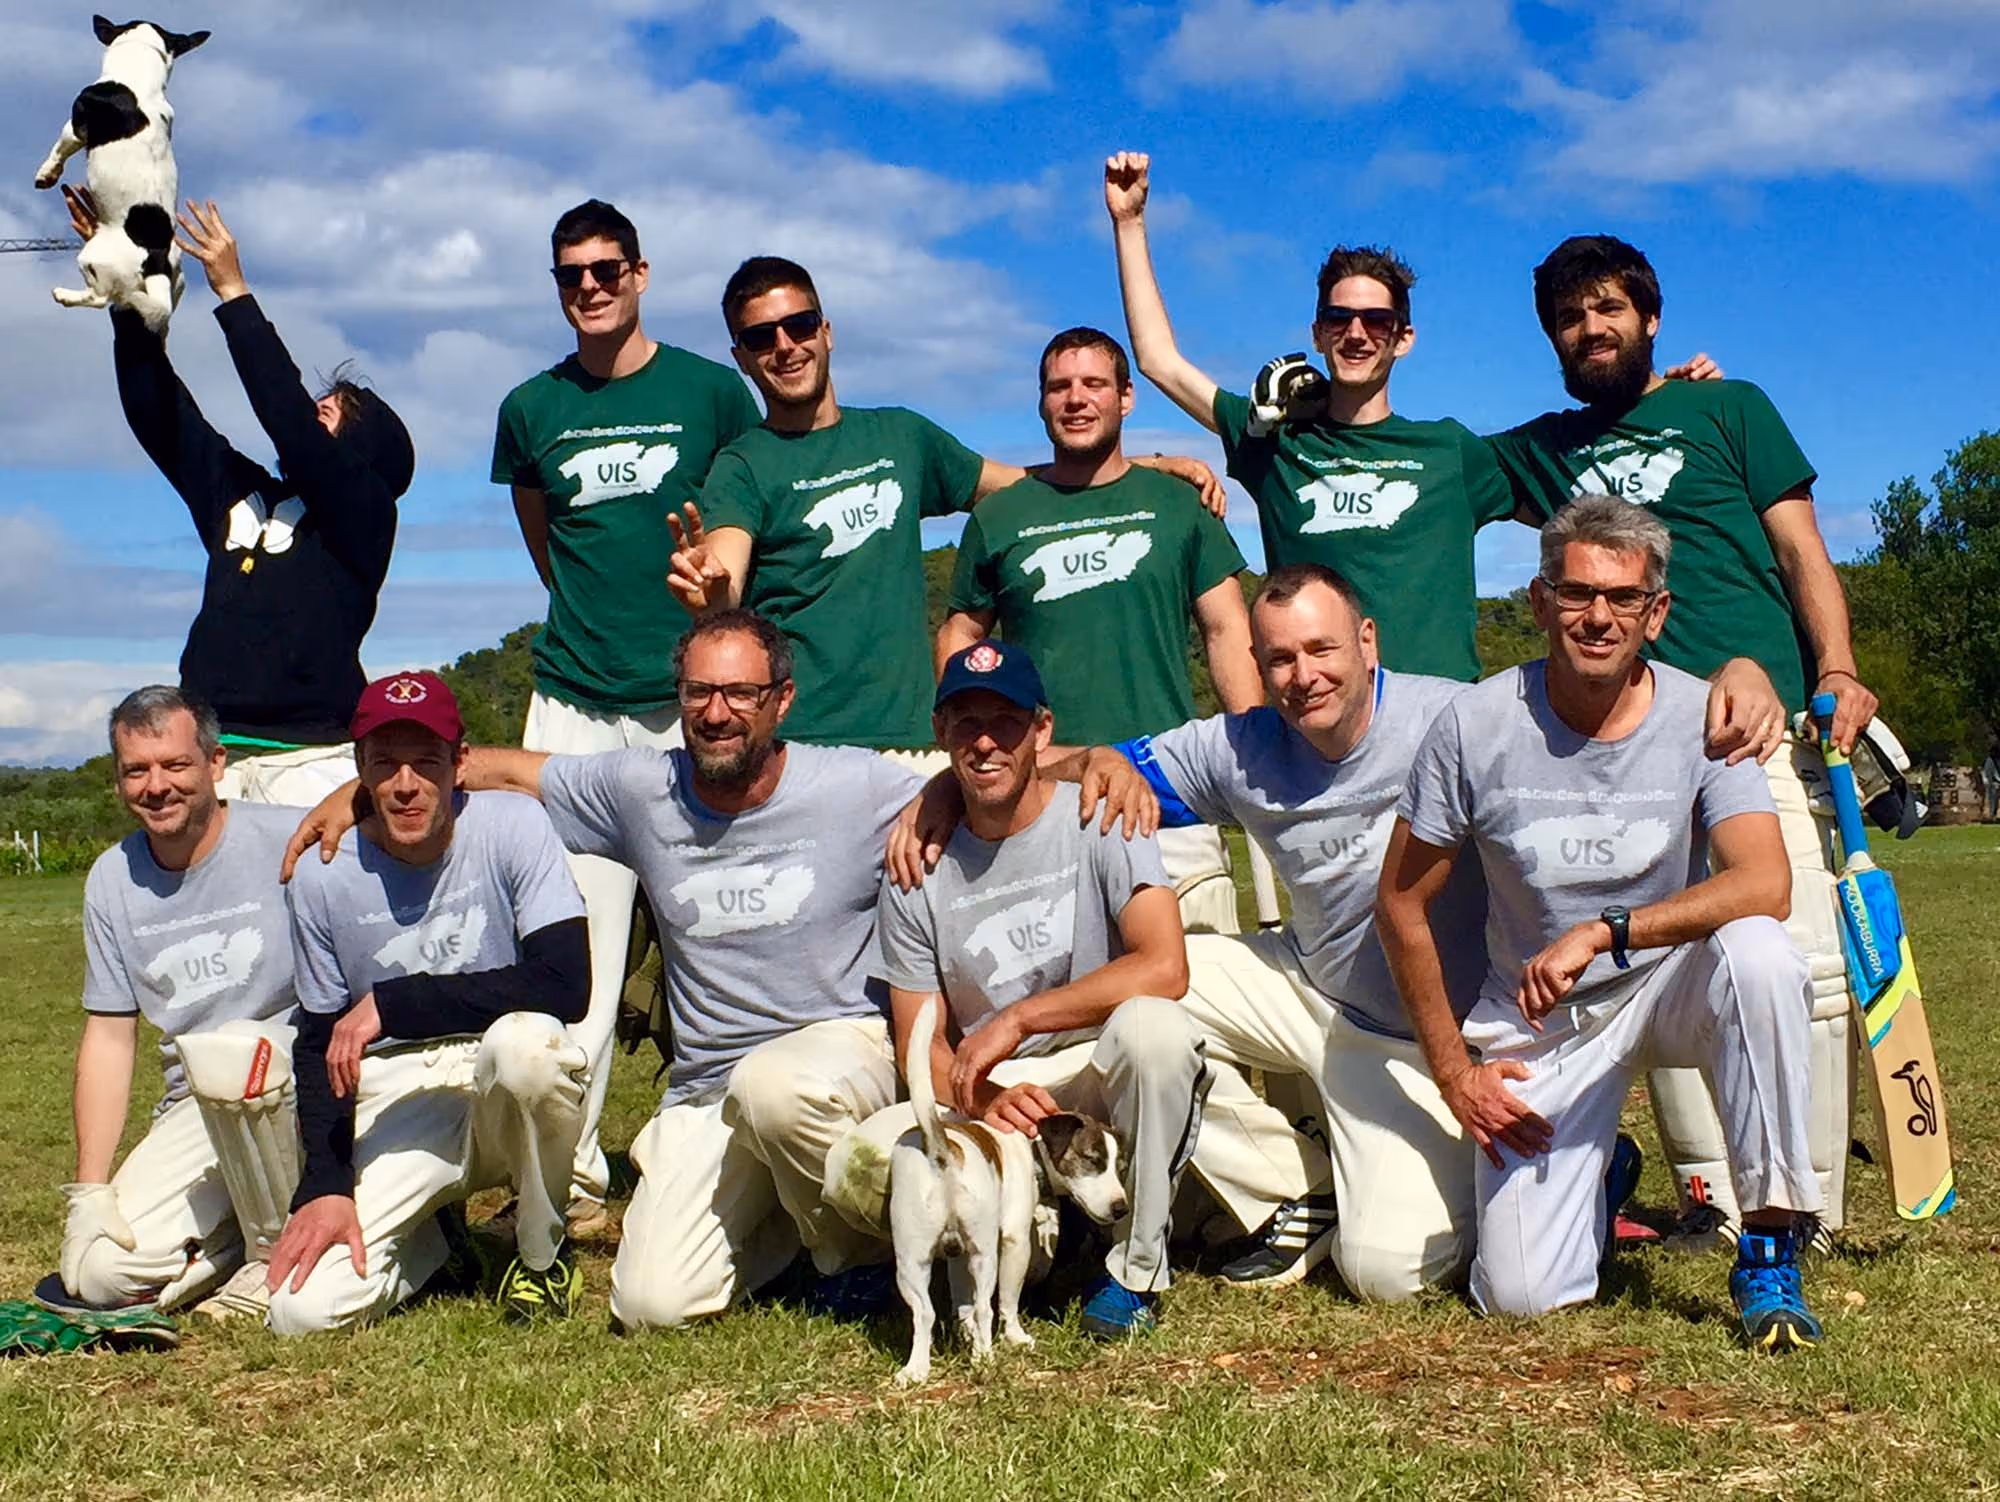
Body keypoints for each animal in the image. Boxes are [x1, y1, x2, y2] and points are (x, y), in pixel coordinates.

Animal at [34, 15, 209, 333]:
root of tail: (156, 260)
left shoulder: (76, 126)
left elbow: (59, 149)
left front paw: (46, 174)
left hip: (92, 256)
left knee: (100, 297)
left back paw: (64, 294)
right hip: (175, 285)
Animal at [888, 1001, 1128, 1385]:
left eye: (1120, 1168)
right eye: (1092, 1160)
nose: (1122, 1209)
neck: (1029, 1148)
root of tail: (941, 1151)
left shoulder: (957, 1253)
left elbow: (963, 1304)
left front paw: (968, 1337)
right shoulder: (1015, 1240)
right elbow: (1006, 1302)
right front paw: (1014, 1337)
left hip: (912, 1259)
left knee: (923, 1314)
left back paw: (917, 1369)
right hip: (985, 1253)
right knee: (985, 1306)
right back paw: (986, 1358)